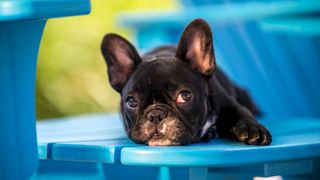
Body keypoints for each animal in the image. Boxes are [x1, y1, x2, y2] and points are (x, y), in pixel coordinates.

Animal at [101, 18, 272, 146]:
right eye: (131, 101)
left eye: (184, 96)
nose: (155, 114)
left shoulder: (228, 103)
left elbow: (241, 112)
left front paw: (253, 129)